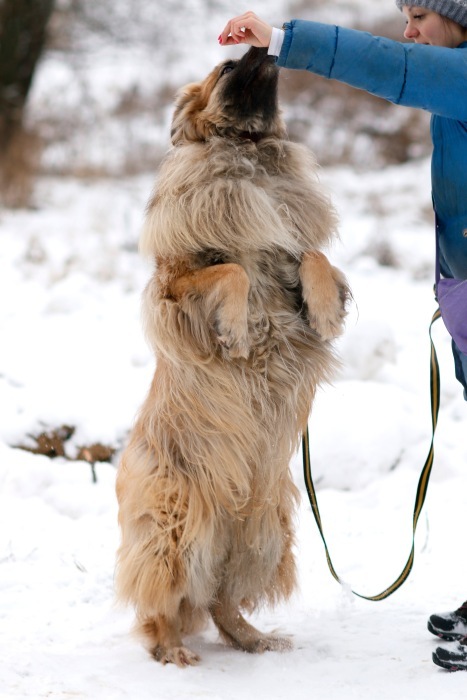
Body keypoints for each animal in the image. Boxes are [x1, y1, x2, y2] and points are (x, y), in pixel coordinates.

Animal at [116, 45, 352, 668]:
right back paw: (173, 650)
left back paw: (254, 637)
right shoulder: (174, 284)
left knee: (221, 602)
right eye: (227, 69)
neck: (249, 154)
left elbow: (312, 256)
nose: (262, 46)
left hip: (261, 533)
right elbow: (233, 272)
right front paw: (237, 332)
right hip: (177, 528)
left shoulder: (297, 243)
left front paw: (322, 310)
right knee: (161, 605)